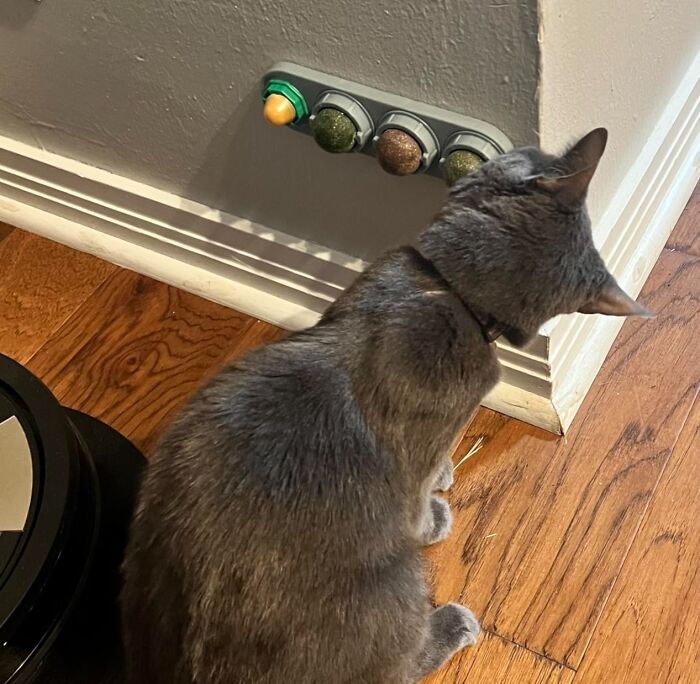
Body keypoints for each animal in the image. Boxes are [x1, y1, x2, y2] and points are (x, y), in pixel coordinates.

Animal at [119, 125, 652, 680]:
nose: (520, 144)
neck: (454, 297)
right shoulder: (425, 447)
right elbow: (418, 494)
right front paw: (437, 504)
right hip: (399, 582)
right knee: (399, 661)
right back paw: (453, 623)